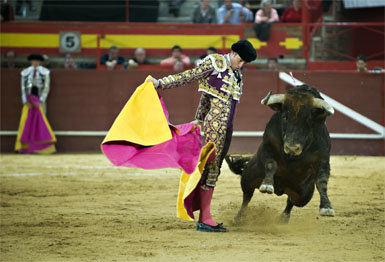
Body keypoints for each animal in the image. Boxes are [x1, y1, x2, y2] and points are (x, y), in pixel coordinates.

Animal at [226, 84, 334, 223]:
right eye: (284, 117)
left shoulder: (323, 159)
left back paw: (283, 218)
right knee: (247, 196)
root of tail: (281, 190)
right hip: (248, 177)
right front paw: (267, 185)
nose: (292, 148)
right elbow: (271, 164)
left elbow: (322, 182)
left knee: (291, 202)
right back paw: (240, 218)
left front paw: (327, 207)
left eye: (309, 120)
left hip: (303, 196)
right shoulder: (267, 147)